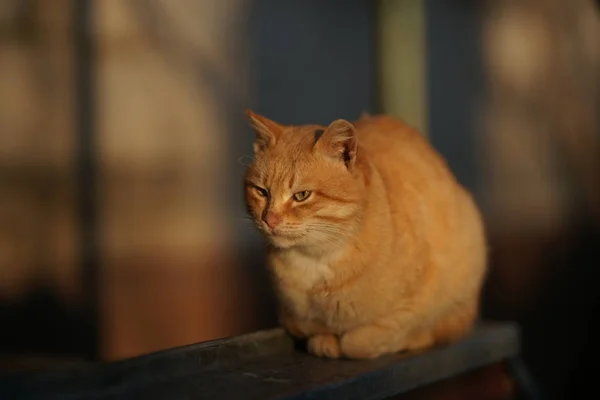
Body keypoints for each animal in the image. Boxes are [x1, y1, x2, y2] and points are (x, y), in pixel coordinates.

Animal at [243, 108, 488, 360]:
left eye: (302, 195)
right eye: (261, 191)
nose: (269, 219)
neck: (316, 260)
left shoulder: (416, 303)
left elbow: (361, 341)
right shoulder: (294, 317)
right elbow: (313, 331)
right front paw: (325, 342)